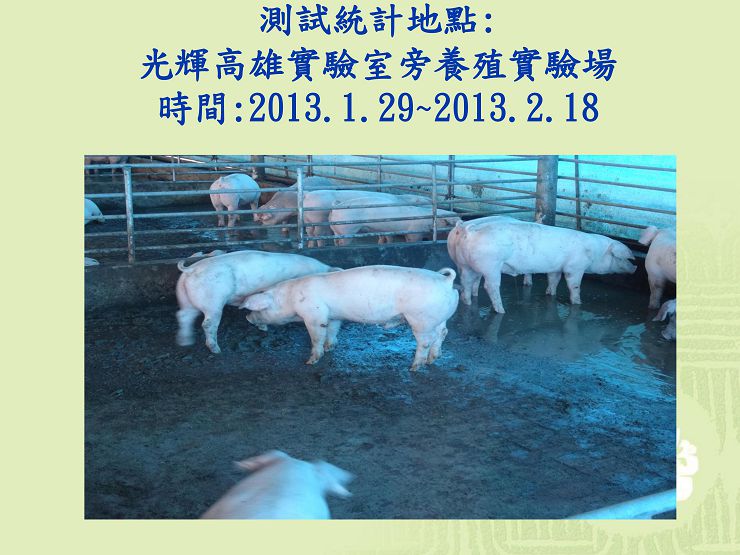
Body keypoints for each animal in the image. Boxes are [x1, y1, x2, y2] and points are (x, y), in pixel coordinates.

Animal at [176, 250, 337, 353]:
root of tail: (191, 270)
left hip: (185, 298)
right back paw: (216, 350)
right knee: (207, 324)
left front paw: (262, 327)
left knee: (183, 316)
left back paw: (185, 342)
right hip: (213, 301)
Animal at [241, 265, 459, 371]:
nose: (248, 317)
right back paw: (433, 359)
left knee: (425, 341)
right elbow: (332, 331)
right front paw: (331, 348)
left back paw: (414, 367)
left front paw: (310, 362)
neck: (290, 297)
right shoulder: (333, 316)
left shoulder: (314, 314)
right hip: (439, 318)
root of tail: (446, 281)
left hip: (420, 318)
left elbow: (316, 336)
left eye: (260, 309)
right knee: (443, 333)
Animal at [329, 198, 459, 245]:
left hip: (337, 230)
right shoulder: (415, 231)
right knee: (343, 242)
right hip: (348, 229)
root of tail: (336, 207)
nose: (462, 220)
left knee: (336, 240)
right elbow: (413, 240)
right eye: (454, 222)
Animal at [450, 219, 636, 313]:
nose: (635, 268)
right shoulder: (574, 267)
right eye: (624, 257)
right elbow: (574, 286)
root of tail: (468, 230)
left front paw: (550, 295)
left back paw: (467, 303)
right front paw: (578, 303)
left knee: (466, 282)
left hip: (466, 265)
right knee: (490, 286)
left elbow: (553, 280)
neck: (595, 253)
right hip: (491, 265)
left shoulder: (555, 268)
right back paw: (501, 311)